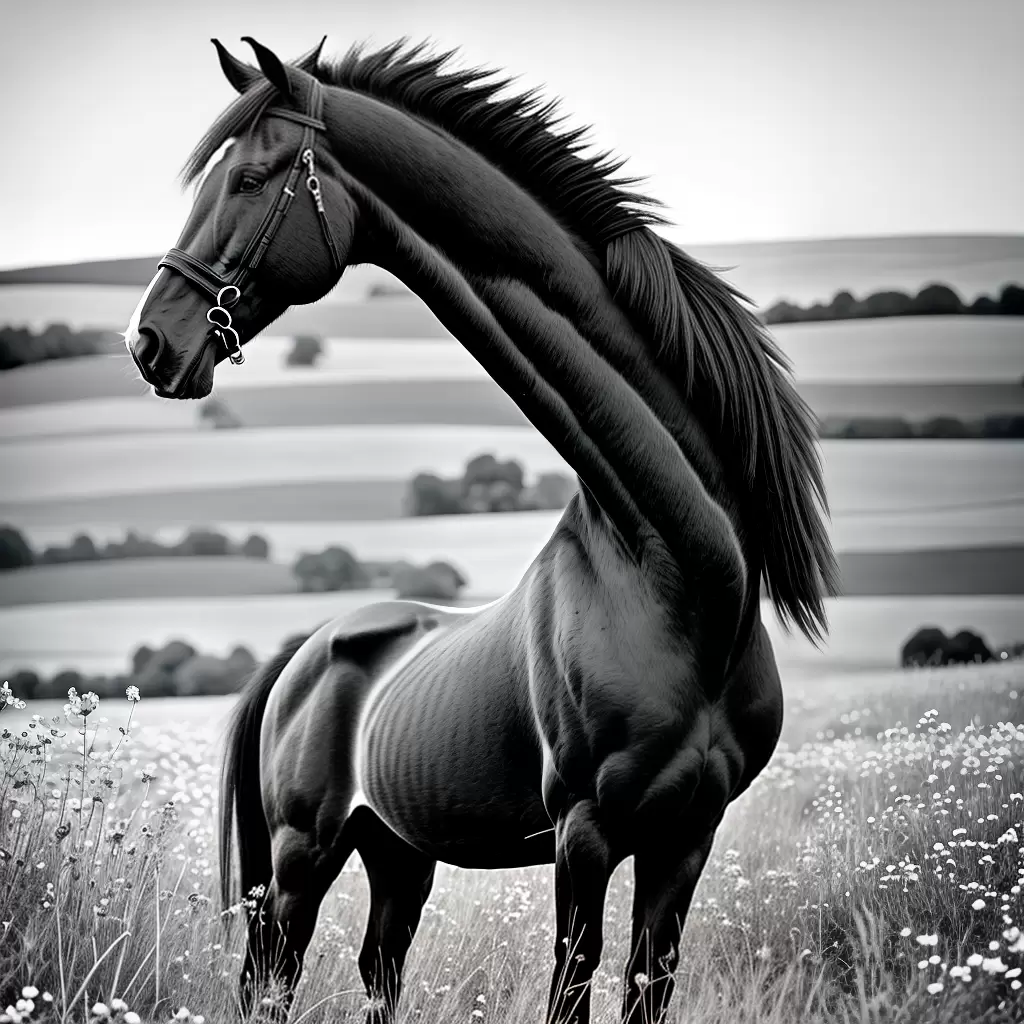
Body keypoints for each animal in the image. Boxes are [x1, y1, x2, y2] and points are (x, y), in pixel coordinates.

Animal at [124, 36, 839, 1024]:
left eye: (252, 178)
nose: (150, 343)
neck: (677, 576)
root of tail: (301, 656)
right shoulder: (586, 832)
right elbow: (572, 983)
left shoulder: (686, 836)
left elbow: (645, 982)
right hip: (302, 857)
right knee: (271, 981)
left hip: (397, 854)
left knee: (378, 969)